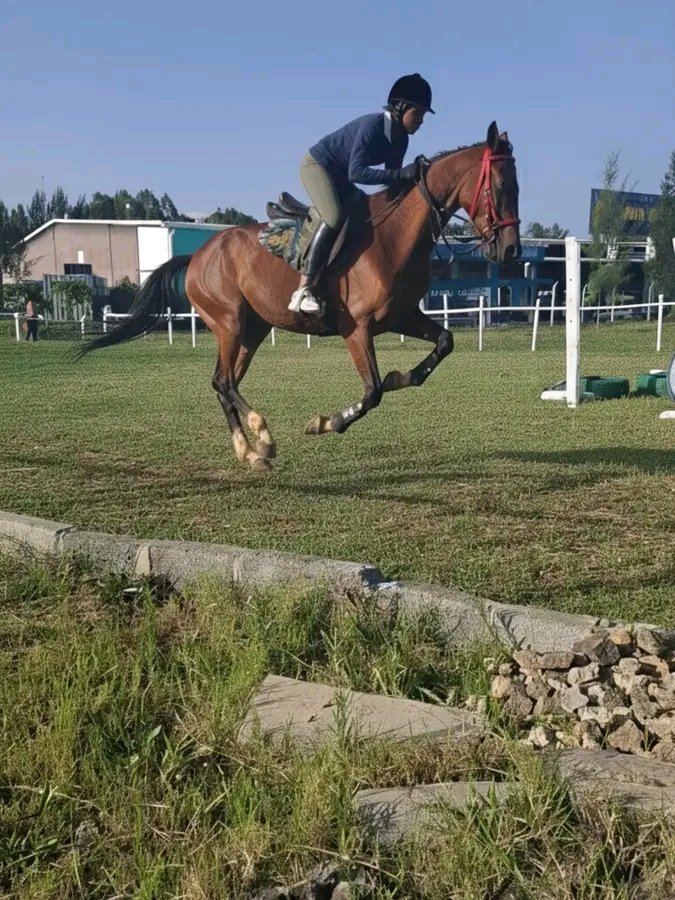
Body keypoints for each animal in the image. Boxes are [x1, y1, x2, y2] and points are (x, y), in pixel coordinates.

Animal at [81, 121, 520, 471]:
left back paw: (252, 449)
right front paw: (327, 422)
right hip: (228, 323)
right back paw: (260, 438)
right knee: (223, 381)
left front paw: (401, 376)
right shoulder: (357, 329)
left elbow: (442, 344)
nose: (511, 251)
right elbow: (372, 391)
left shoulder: (401, 316)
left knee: (224, 383)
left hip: (252, 330)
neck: (397, 235)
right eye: (501, 186)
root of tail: (199, 254)